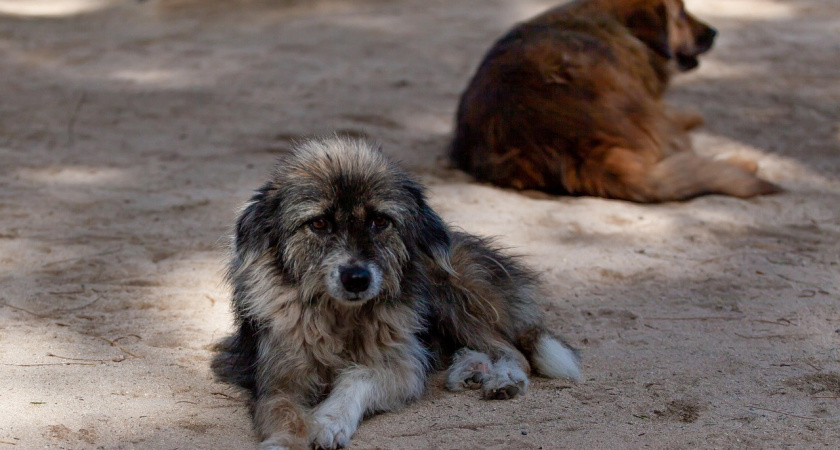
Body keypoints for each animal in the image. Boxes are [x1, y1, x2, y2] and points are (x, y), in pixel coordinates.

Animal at [213, 137, 580, 450]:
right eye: (318, 224)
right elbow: (285, 416)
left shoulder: (400, 365)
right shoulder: (277, 378)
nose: (356, 279)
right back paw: (469, 368)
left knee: (512, 350)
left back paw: (501, 378)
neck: (340, 318)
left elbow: (359, 377)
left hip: (450, 295)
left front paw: (329, 421)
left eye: (379, 221)